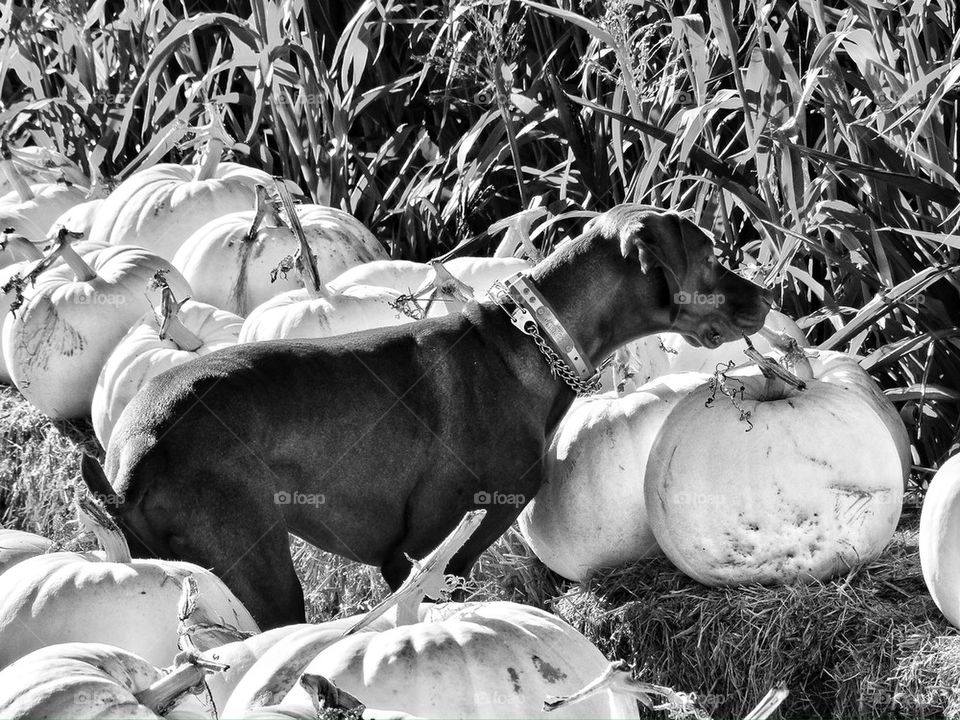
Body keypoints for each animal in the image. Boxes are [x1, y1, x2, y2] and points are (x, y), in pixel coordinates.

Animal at [82, 205, 772, 628]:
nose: (768, 297)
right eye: (712, 255)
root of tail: (134, 456)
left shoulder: (410, 559)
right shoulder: (434, 546)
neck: (529, 341)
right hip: (260, 573)